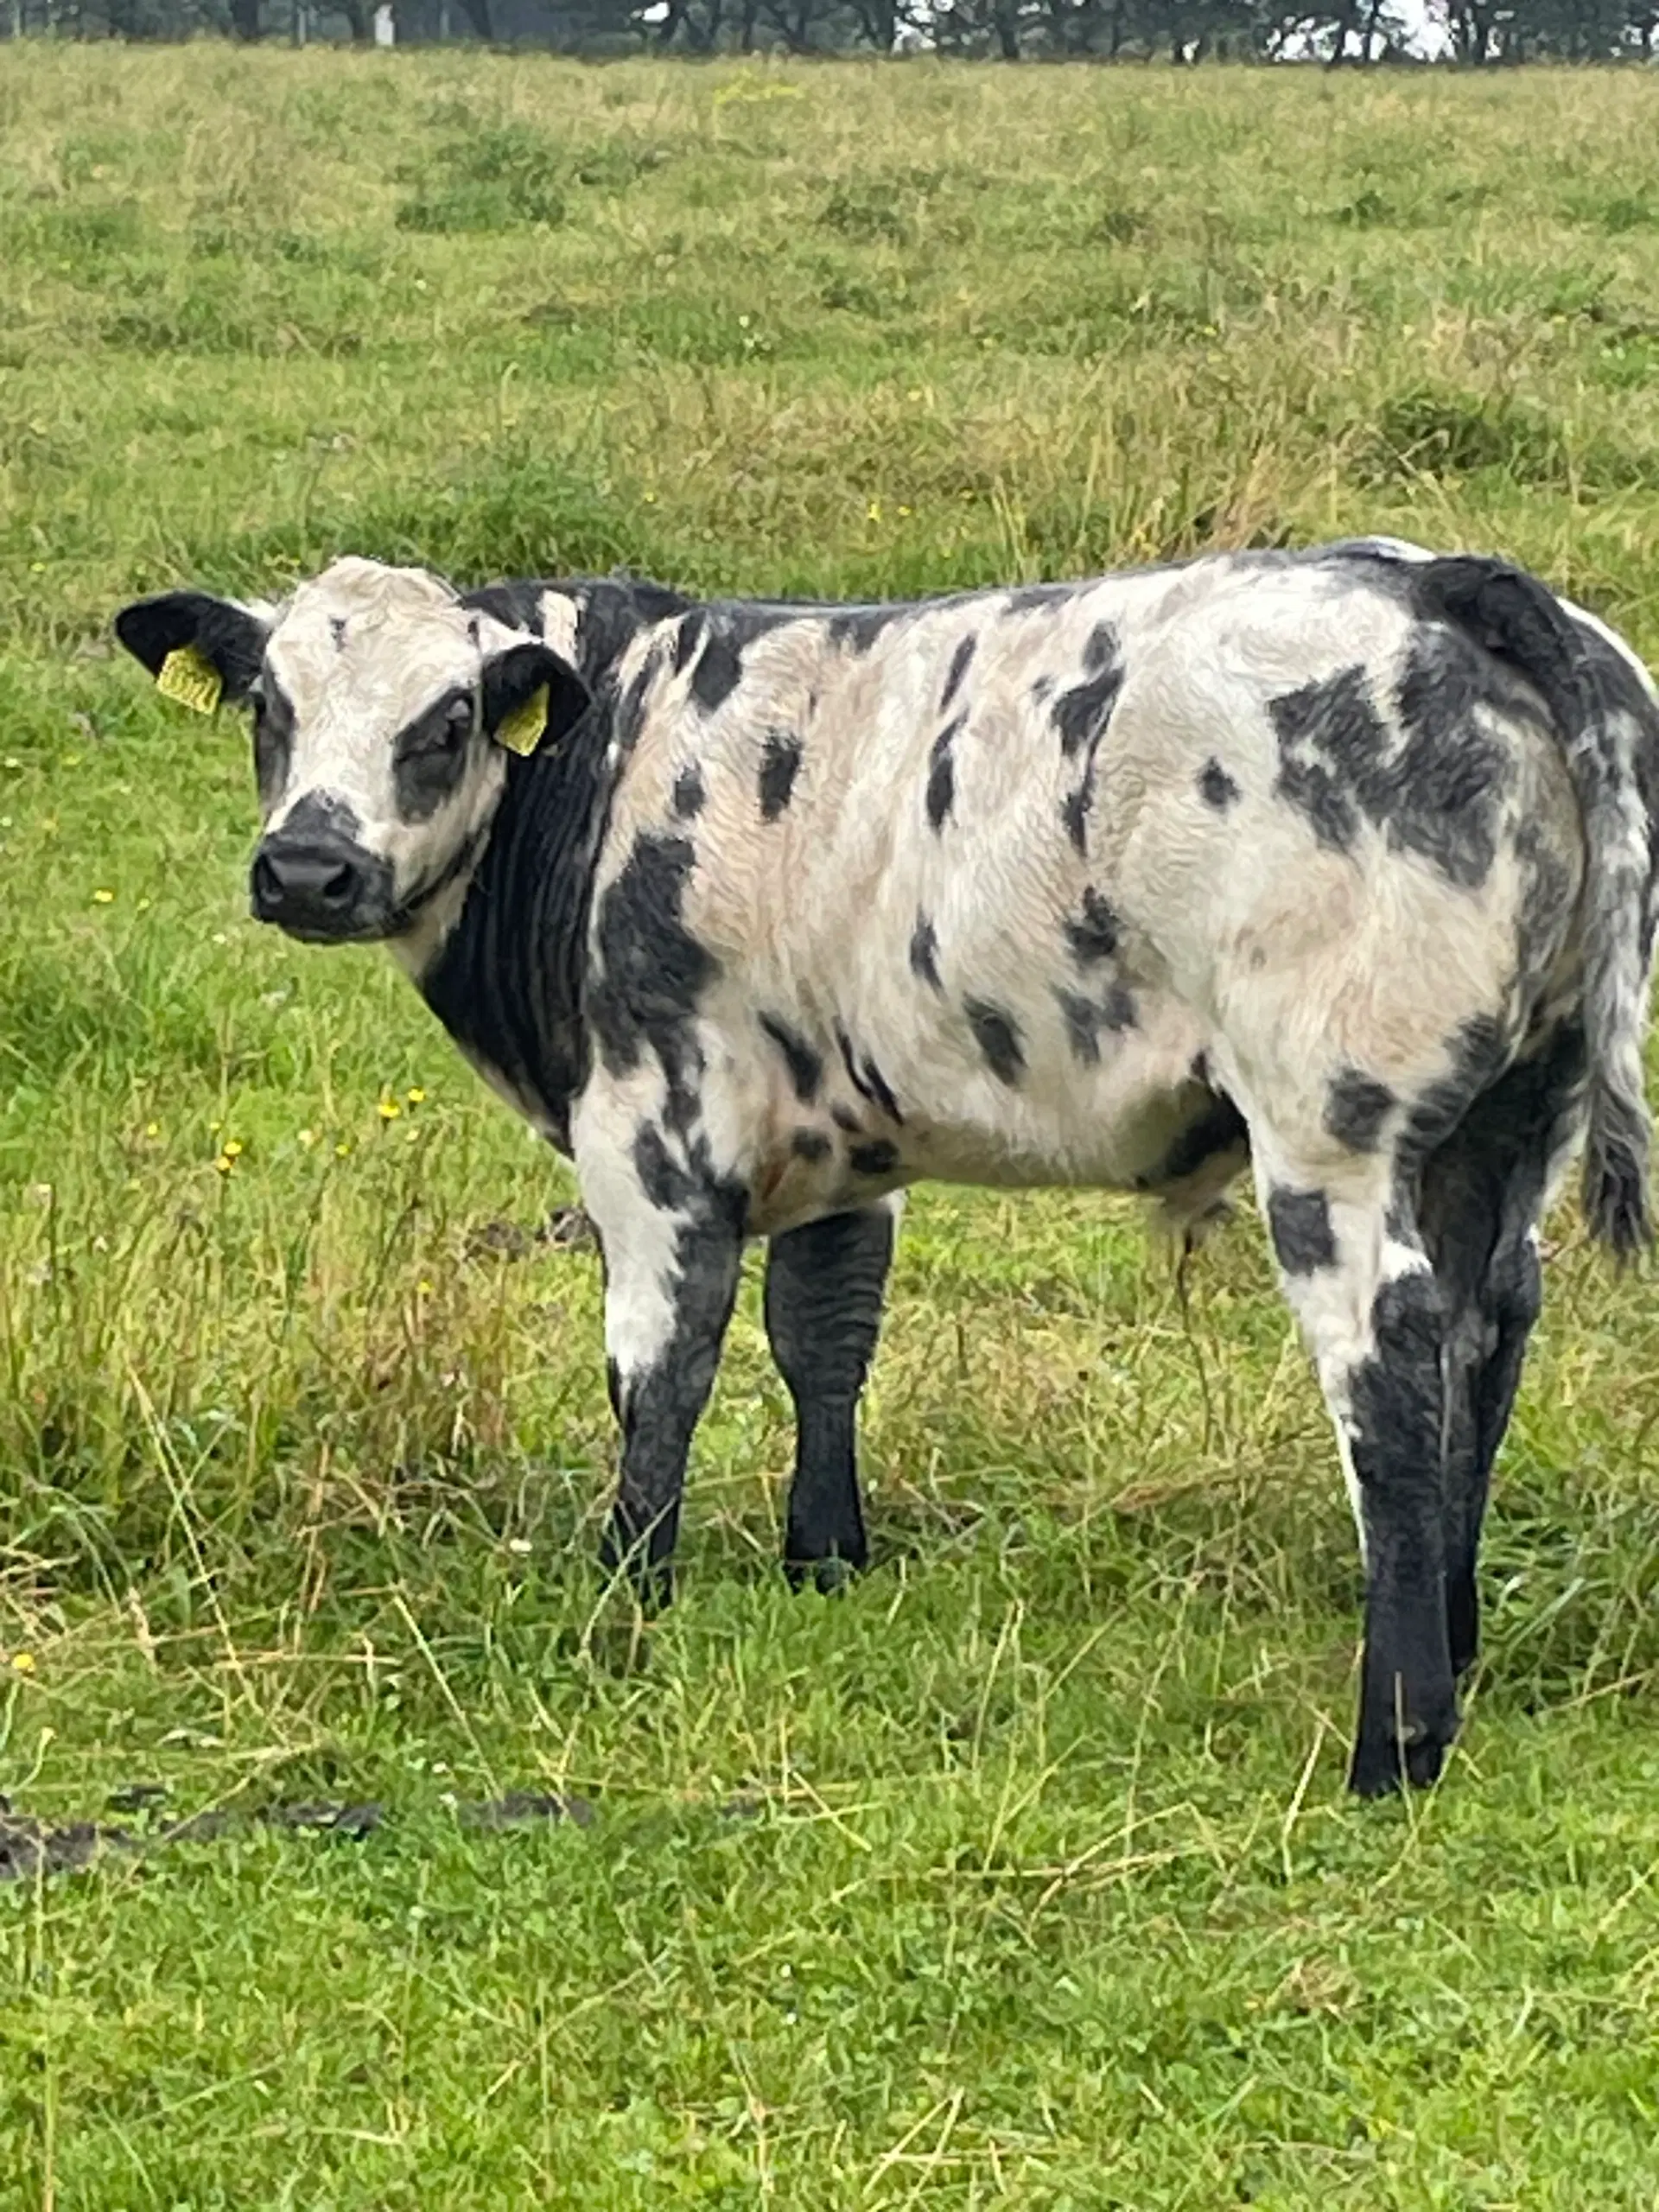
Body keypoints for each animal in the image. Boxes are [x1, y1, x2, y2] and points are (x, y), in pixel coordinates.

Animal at [117, 539, 1659, 1796]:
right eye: (268, 706)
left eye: (445, 721)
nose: (306, 870)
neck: (606, 771)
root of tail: (1446, 585)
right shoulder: (839, 1130)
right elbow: (825, 1332)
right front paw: (823, 1558)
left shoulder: (649, 1134)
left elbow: (660, 1371)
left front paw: (627, 1596)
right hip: (1510, 1120)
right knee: (1486, 1331)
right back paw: (1456, 1637)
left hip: (1330, 1125)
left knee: (1390, 1372)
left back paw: (1395, 1739)